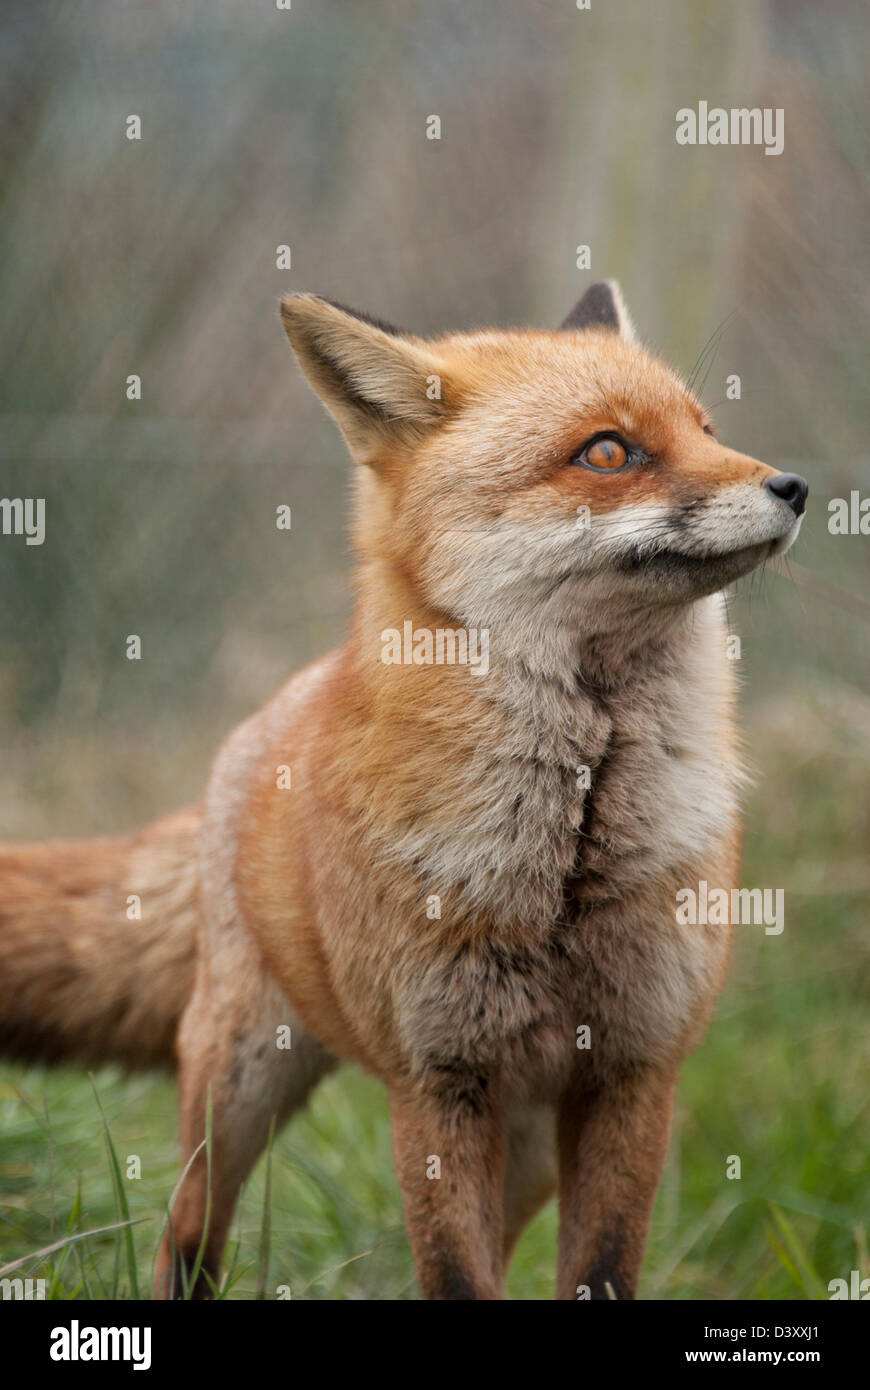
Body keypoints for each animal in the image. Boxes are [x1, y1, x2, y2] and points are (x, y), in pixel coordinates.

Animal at [0, 284, 806, 1301]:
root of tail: (269, 720)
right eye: (608, 451)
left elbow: (597, 1270)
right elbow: (455, 1277)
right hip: (238, 1087)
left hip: (528, 1148)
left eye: (708, 430)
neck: (564, 862)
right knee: (187, 1233)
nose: (795, 487)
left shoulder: (634, 1068)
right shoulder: (437, 1079)